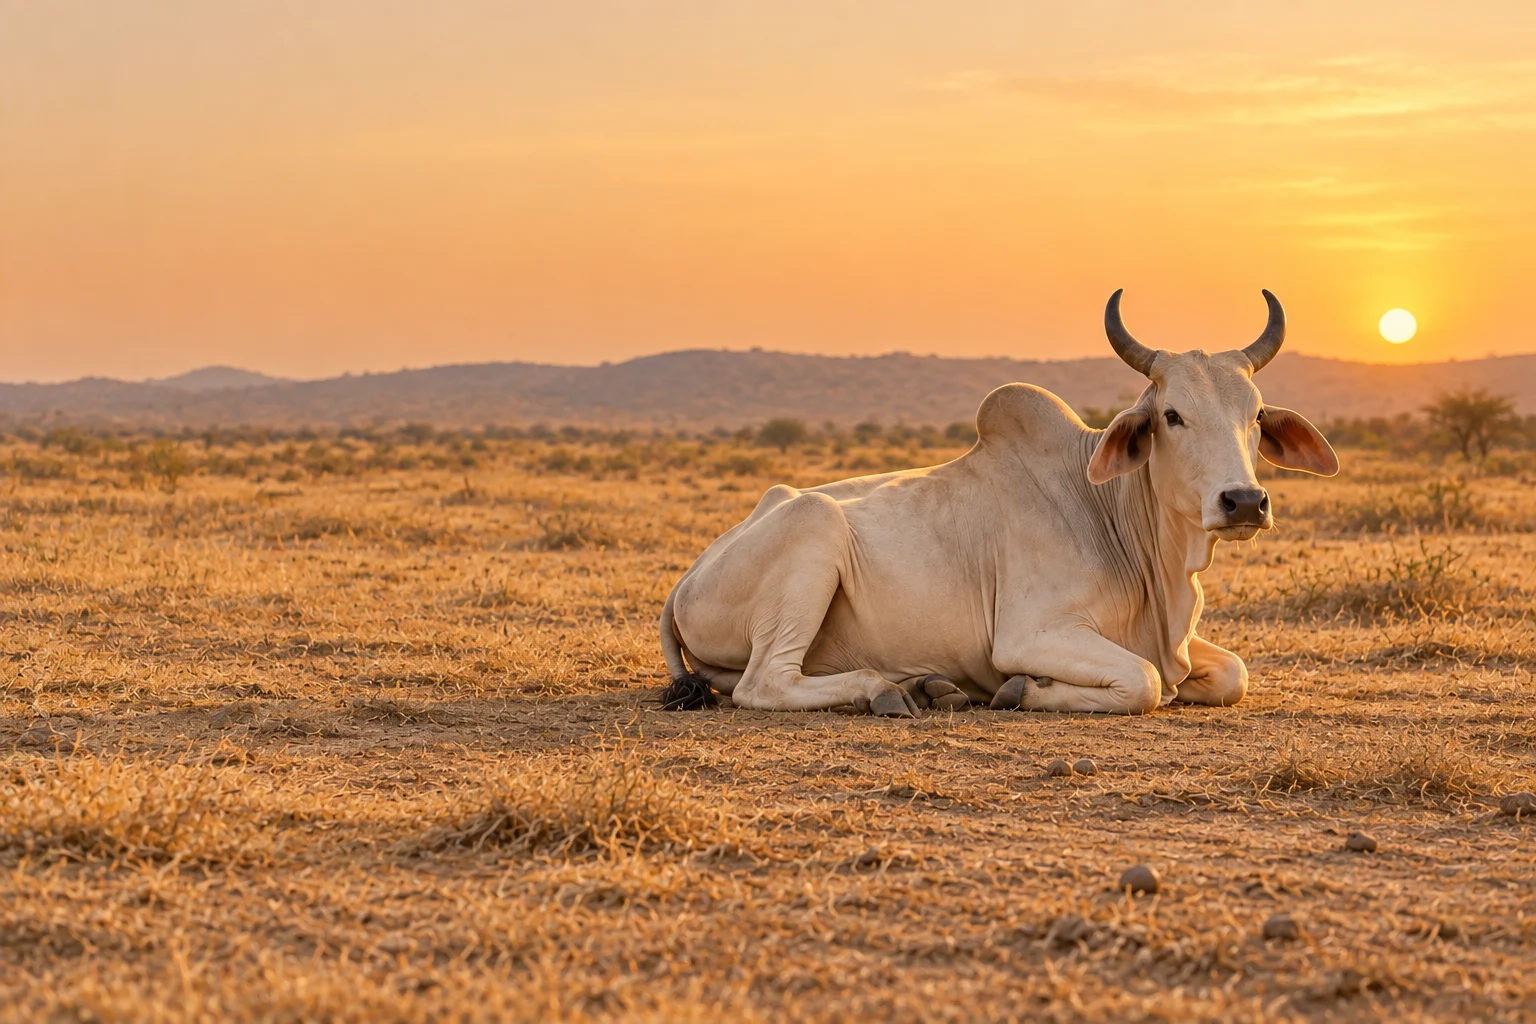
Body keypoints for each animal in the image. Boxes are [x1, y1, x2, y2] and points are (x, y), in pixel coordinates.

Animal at [658, 291, 1338, 717]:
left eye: (1255, 415)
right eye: (1171, 415)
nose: (1244, 501)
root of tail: (689, 576)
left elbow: (1233, 673)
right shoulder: (1031, 633)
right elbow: (1141, 683)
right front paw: (1021, 690)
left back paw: (929, 685)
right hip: (812, 525)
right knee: (764, 683)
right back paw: (886, 691)